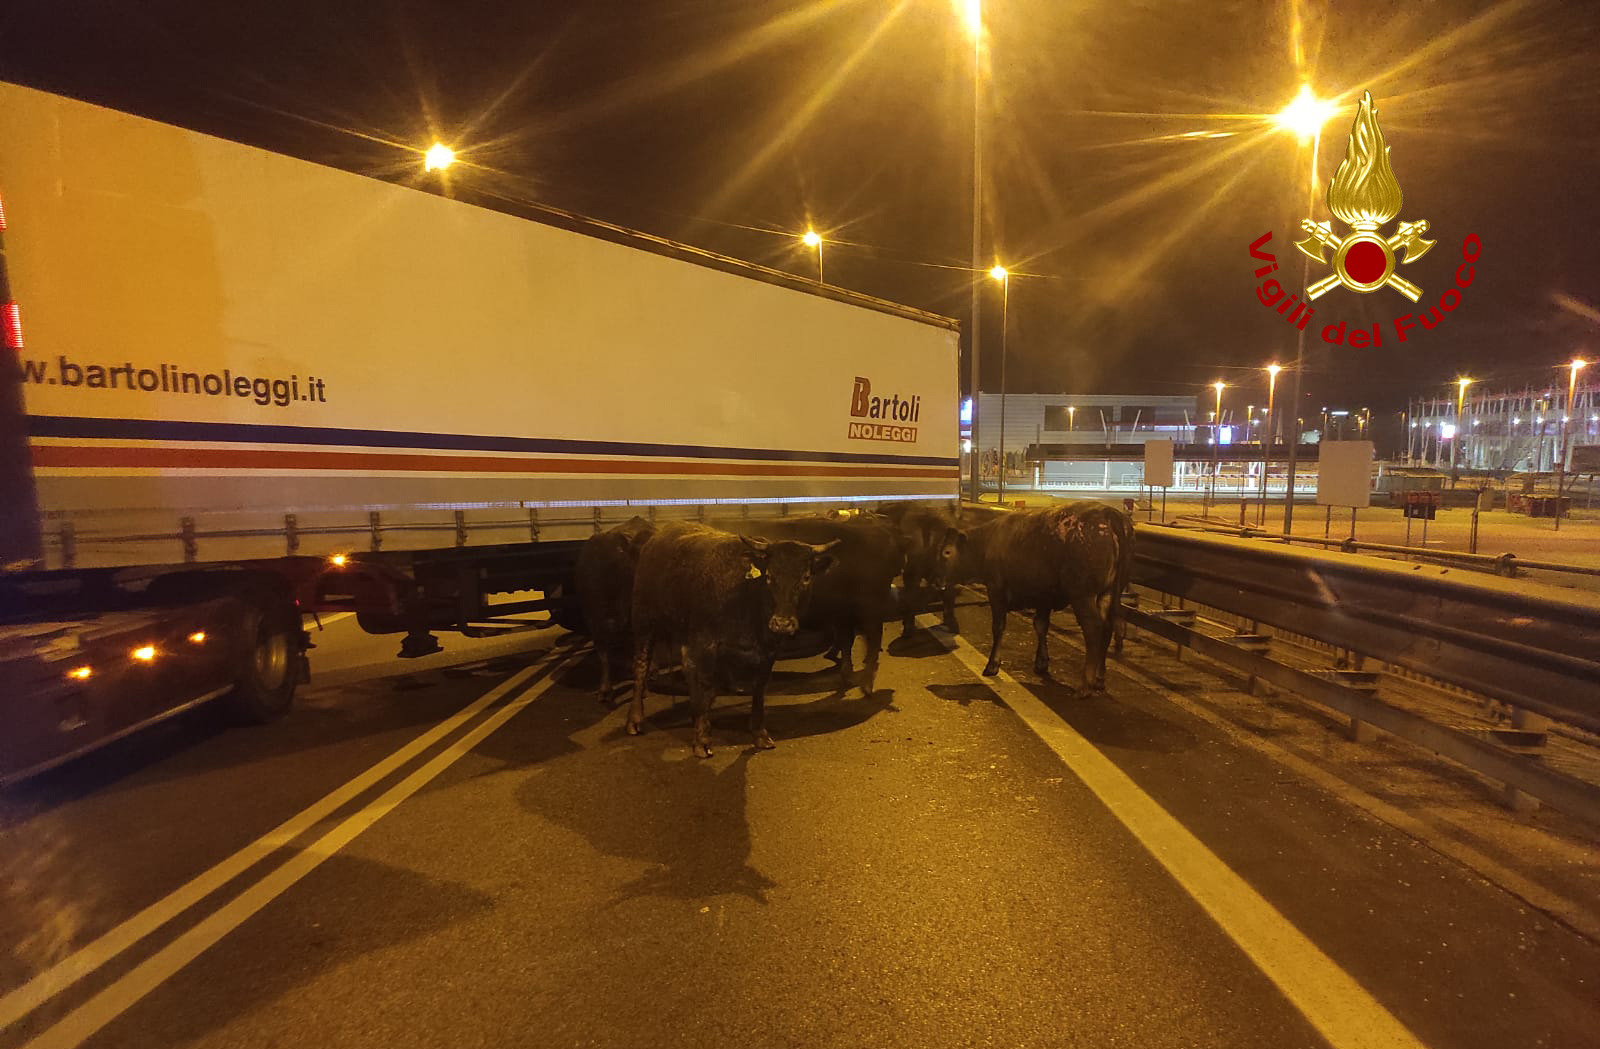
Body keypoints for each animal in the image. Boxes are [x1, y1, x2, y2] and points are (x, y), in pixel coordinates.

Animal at [630, 521, 844, 754]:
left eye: (805, 577)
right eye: (769, 576)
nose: (782, 623)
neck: (747, 596)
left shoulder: (768, 651)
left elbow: (759, 687)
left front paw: (759, 734)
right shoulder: (704, 643)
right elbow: (704, 681)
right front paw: (702, 739)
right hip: (644, 620)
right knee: (642, 665)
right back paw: (635, 720)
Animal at [934, 505, 1139, 694]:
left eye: (946, 552)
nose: (937, 580)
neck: (987, 543)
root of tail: (1108, 513)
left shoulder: (996, 589)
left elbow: (998, 627)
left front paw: (992, 665)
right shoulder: (1043, 596)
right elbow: (1040, 625)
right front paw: (1041, 662)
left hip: (1082, 594)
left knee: (1094, 629)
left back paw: (1085, 685)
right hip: (1109, 592)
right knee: (1107, 627)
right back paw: (1099, 678)